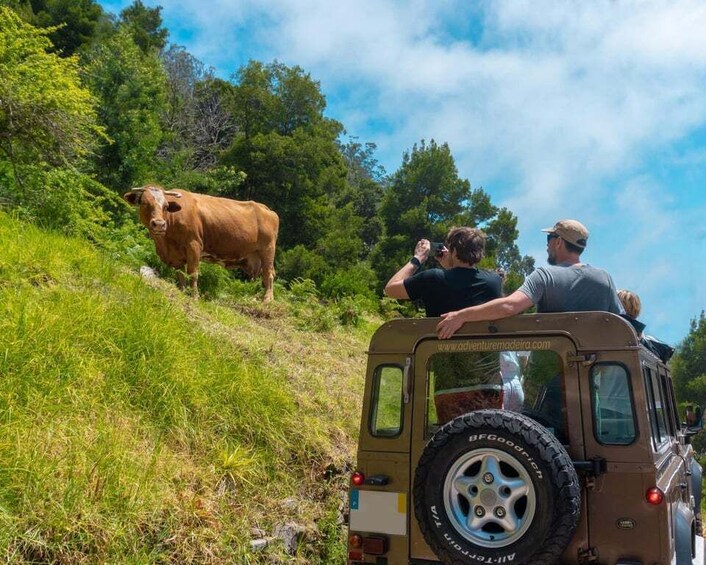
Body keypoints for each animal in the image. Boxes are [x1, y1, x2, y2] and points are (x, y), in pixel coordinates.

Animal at [124, 185, 279, 302]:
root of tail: (266, 209)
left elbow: (193, 272)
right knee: (266, 276)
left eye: (166, 206)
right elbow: (181, 274)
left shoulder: (194, 245)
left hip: (267, 250)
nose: (159, 224)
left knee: (268, 274)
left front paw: (194, 296)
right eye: (144, 203)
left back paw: (267, 300)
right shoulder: (176, 256)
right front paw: (183, 290)